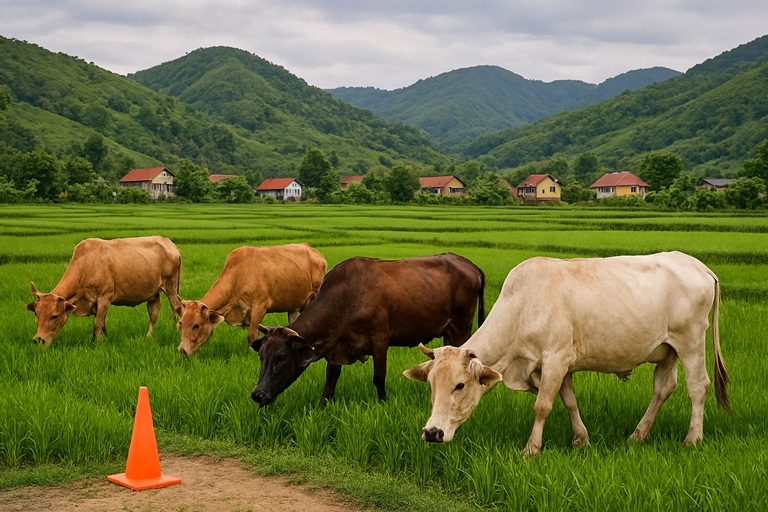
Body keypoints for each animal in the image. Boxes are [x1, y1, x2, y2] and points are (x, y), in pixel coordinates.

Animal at [26, 235, 183, 346]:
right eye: (36, 313)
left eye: (54, 316)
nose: (38, 340)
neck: (85, 265)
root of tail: (170, 243)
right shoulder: (95, 303)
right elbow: (102, 323)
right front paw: (105, 339)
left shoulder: (105, 297)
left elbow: (97, 323)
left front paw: (96, 343)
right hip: (153, 293)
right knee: (154, 313)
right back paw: (148, 337)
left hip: (170, 286)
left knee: (176, 308)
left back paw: (177, 331)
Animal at [176, 243, 327, 357]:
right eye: (181, 323)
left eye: (196, 325)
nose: (182, 351)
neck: (238, 276)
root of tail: (315, 252)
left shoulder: (259, 307)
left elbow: (252, 336)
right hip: (293, 307)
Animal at [250, 252, 486, 407]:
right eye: (261, 356)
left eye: (281, 357)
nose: (257, 394)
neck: (346, 296)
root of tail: (471, 265)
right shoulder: (337, 345)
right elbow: (331, 375)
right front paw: (322, 405)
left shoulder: (380, 339)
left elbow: (378, 377)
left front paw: (384, 405)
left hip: (461, 326)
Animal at [404, 251, 730, 457]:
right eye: (431, 385)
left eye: (459, 385)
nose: (432, 432)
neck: (521, 307)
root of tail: (699, 266)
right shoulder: (558, 366)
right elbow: (570, 401)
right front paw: (581, 439)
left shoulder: (555, 359)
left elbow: (542, 406)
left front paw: (531, 449)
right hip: (666, 351)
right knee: (663, 389)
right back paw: (637, 435)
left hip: (690, 341)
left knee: (698, 387)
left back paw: (692, 439)